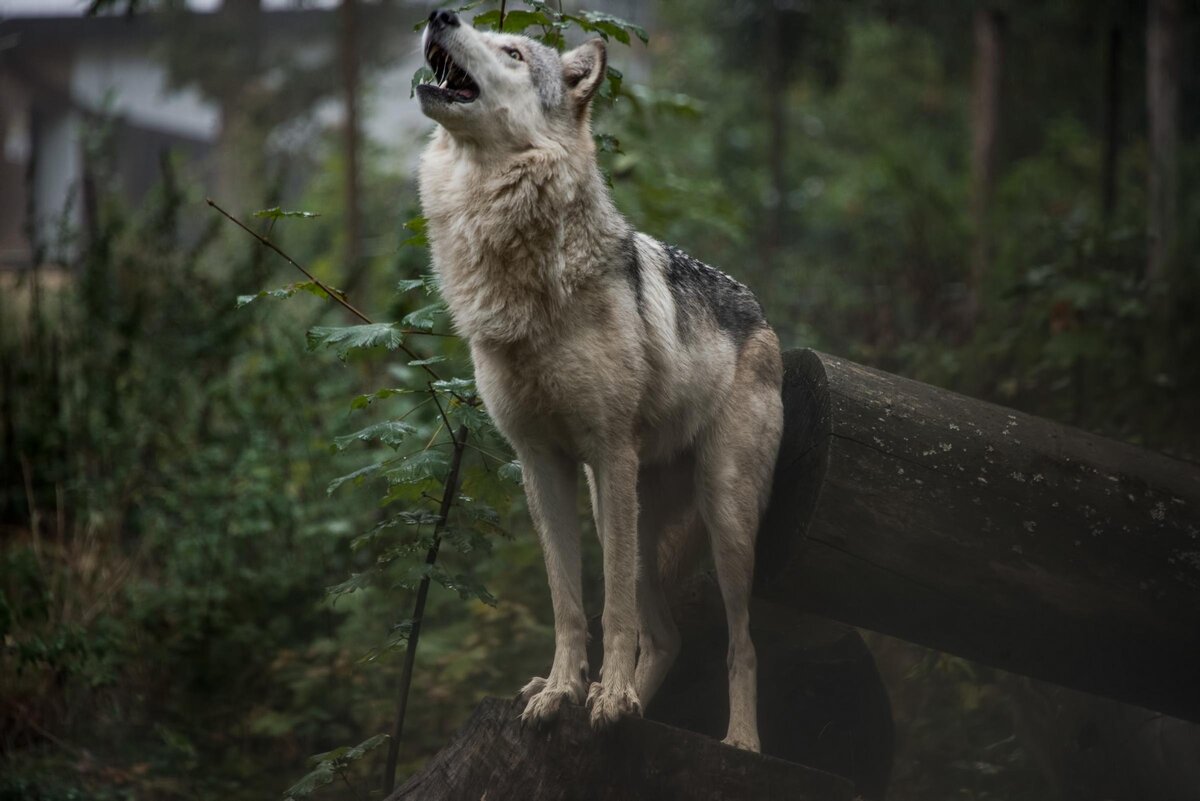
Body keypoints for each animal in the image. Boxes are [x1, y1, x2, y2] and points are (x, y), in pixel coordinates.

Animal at [417, 9, 782, 753]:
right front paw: (564, 693)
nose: (439, 14)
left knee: (740, 642)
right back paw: (626, 702)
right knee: (667, 635)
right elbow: (568, 603)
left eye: (512, 51)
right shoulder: (542, 465)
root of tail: (762, 318)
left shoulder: (609, 451)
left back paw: (738, 741)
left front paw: (606, 698)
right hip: (626, 510)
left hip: (722, 520)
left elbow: (610, 609)